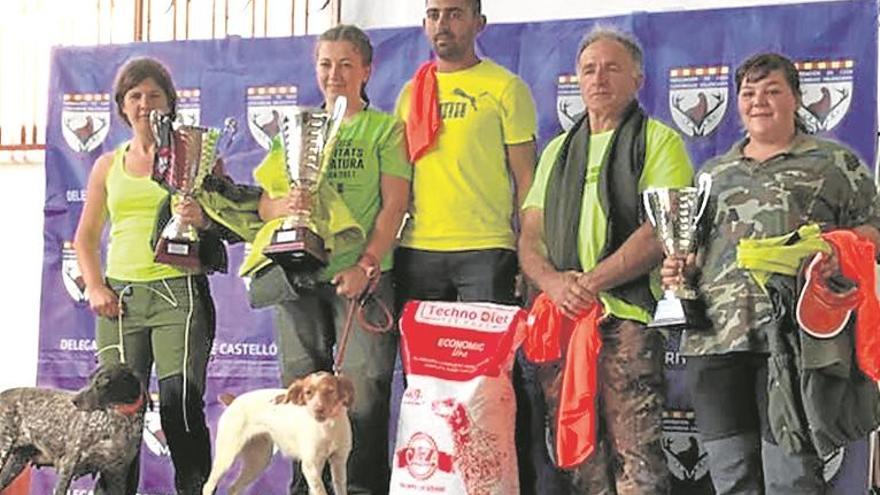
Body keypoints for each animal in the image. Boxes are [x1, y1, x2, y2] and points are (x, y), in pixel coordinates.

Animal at [203, 372, 354, 495]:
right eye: (308, 392)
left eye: (330, 391)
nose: (318, 410)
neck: (328, 426)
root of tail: (234, 401)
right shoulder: (311, 465)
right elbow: (321, 492)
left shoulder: (339, 461)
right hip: (226, 456)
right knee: (208, 486)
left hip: (258, 459)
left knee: (233, 488)